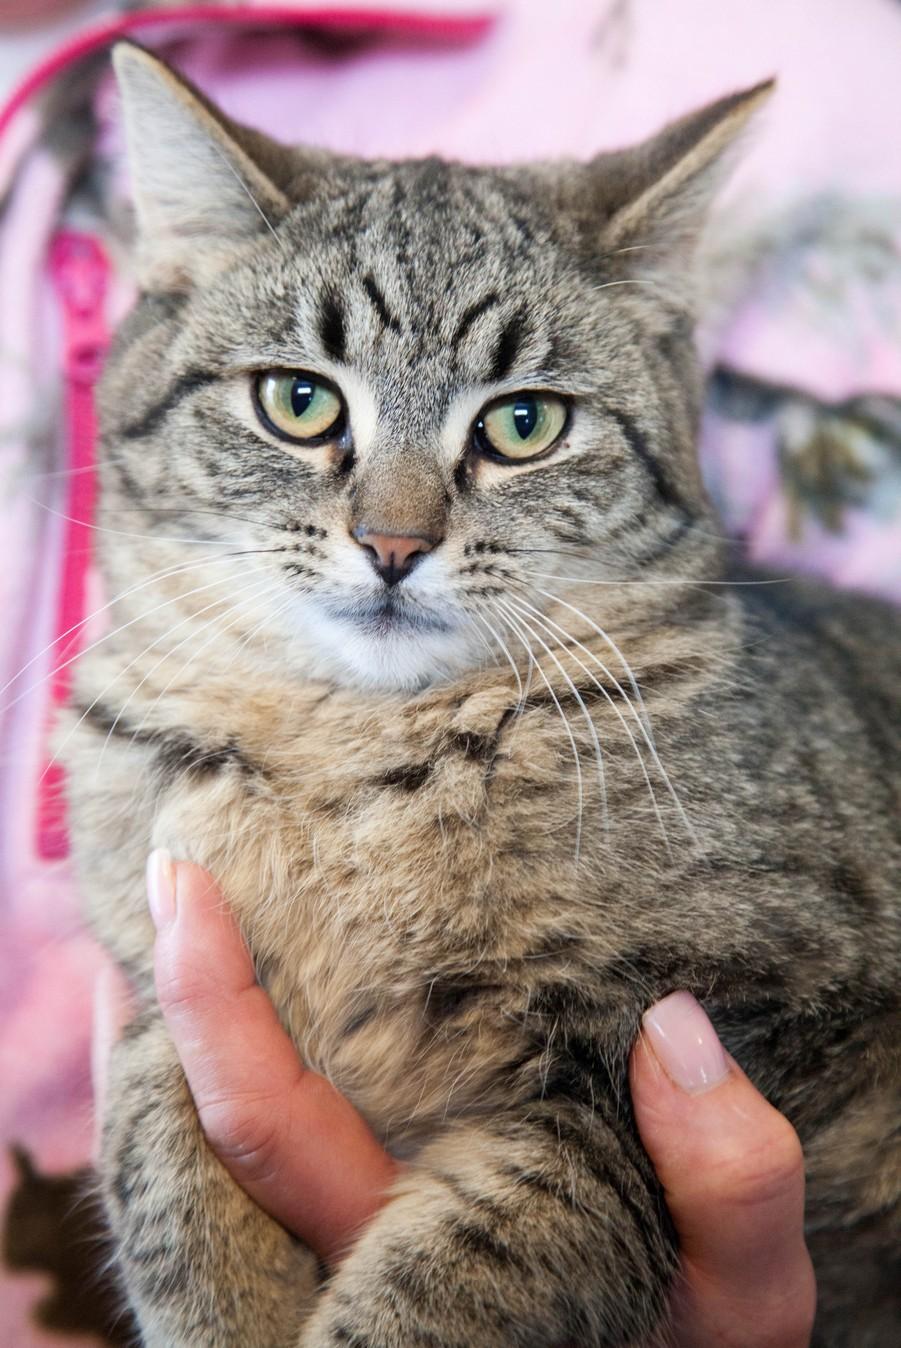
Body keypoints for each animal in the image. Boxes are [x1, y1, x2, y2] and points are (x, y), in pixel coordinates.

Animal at [59, 42, 895, 1348]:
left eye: (523, 423)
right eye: (299, 401)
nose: (392, 544)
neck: (350, 758)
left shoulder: (729, 1027)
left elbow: (492, 1255)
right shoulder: (161, 971)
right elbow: (151, 1132)